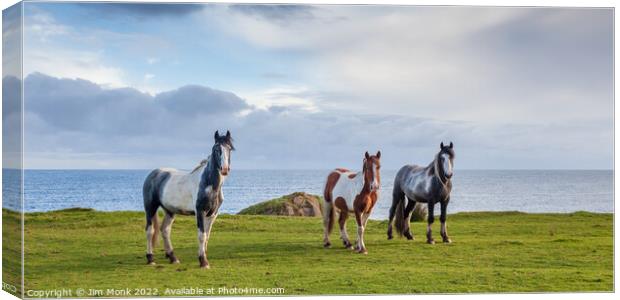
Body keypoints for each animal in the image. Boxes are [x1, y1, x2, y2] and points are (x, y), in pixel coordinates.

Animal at [143, 130, 235, 268]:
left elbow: (207, 236)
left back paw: (173, 258)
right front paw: (203, 262)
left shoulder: (212, 214)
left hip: (170, 211)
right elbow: (201, 235)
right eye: (216, 149)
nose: (224, 169)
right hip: (150, 208)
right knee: (150, 230)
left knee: (165, 230)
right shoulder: (200, 212)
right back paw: (150, 259)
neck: (208, 183)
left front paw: (204, 258)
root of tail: (153, 173)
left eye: (229, 149)